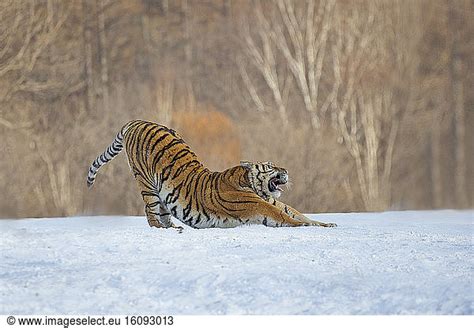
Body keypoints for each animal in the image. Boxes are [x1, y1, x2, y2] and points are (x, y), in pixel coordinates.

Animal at [86, 119, 336, 229]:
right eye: (270, 166)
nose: (286, 171)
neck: (248, 183)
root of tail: (139, 121)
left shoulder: (274, 201)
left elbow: (298, 213)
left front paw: (326, 224)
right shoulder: (260, 206)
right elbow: (286, 218)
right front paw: (311, 227)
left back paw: (172, 227)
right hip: (146, 183)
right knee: (151, 212)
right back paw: (163, 228)